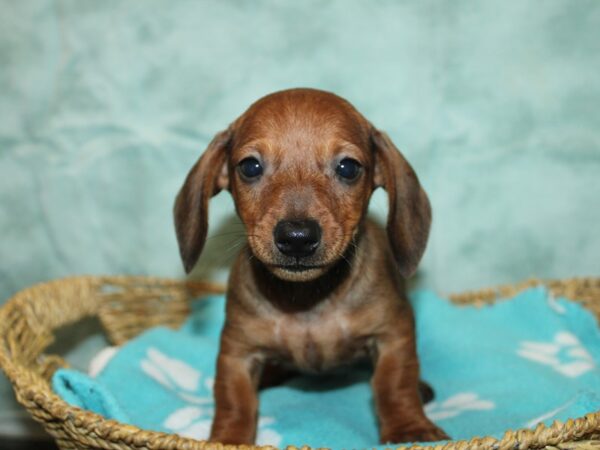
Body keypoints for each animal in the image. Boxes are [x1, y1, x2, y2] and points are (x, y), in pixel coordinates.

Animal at [172, 87, 446, 442]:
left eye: (348, 167)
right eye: (250, 166)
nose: (297, 238)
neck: (307, 301)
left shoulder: (392, 335)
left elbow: (395, 384)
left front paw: (409, 427)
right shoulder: (238, 351)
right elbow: (233, 399)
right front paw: (228, 439)